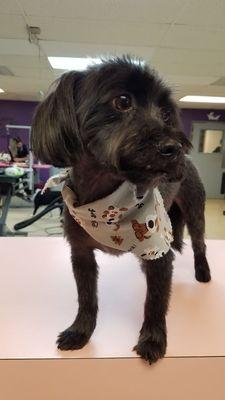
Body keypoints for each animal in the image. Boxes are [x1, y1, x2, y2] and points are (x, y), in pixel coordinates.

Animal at [30, 57, 211, 366]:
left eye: (166, 113)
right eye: (123, 101)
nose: (174, 148)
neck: (107, 201)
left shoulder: (158, 251)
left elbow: (155, 301)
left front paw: (152, 340)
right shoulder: (80, 253)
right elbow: (86, 297)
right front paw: (80, 332)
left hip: (194, 210)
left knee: (199, 242)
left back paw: (203, 272)